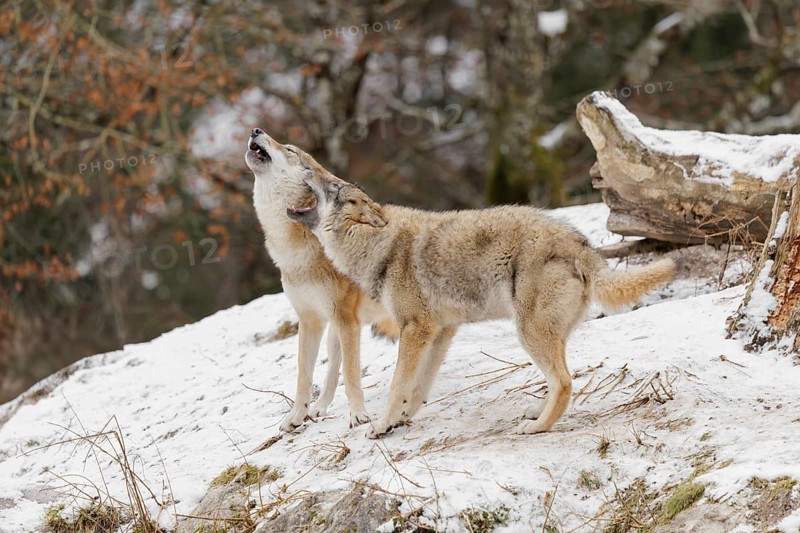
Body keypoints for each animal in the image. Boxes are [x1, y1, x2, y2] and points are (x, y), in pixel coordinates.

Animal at [245, 128, 397, 431]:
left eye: (289, 149)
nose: (256, 130)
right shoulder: (310, 321)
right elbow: (304, 377)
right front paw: (296, 417)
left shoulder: (346, 321)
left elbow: (351, 374)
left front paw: (358, 415)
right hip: (333, 333)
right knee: (330, 377)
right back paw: (318, 409)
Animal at [286, 177, 676, 438]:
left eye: (333, 188)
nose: (308, 172)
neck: (378, 246)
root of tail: (582, 245)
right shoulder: (440, 331)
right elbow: (419, 386)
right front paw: (401, 418)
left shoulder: (415, 328)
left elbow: (399, 384)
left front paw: (382, 424)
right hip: (546, 335)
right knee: (559, 380)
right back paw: (536, 413)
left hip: (528, 333)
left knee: (565, 382)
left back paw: (537, 427)